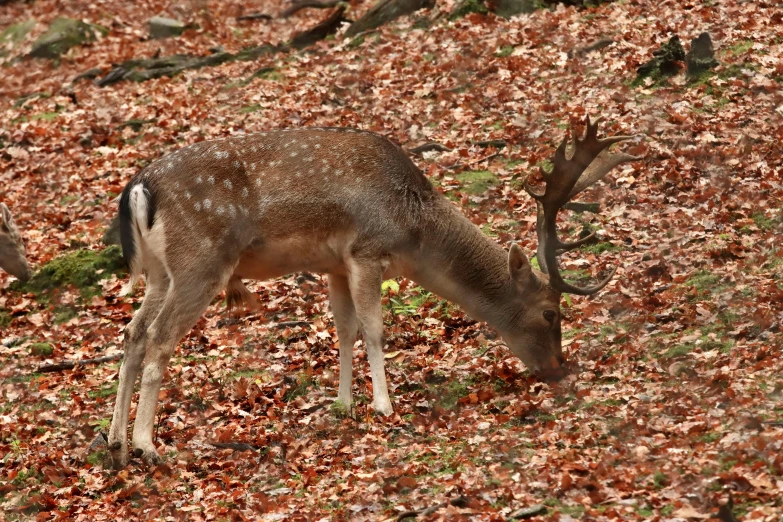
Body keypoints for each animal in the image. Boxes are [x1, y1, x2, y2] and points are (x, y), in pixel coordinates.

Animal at [107, 118, 640, 468]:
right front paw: (385, 405)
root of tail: (138, 188)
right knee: (158, 337)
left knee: (132, 333)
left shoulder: (334, 263)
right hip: (200, 262)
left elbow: (343, 330)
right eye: (550, 312)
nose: (558, 368)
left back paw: (115, 442)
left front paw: (344, 404)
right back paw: (148, 445)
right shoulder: (367, 250)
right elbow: (375, 329)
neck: (413, 231)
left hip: (160, 272)